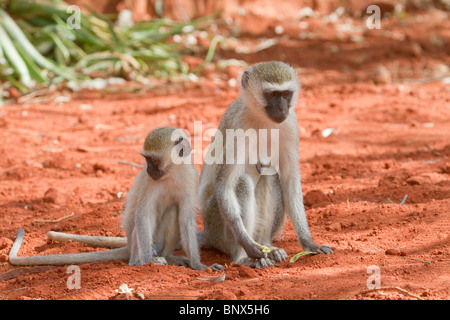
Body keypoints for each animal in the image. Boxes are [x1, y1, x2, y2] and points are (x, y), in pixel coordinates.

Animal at [8, 126, 223, 272]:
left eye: (153, 160)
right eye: (146, 159)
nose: (148, 170)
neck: (172, 172)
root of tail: (129, 246)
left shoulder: (191, 177)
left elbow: (185, 218)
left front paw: (198, 265)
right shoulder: (149, 183)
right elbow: (143, 215)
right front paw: (148, 262)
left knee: (173, 212)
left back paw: (169, 257)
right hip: (139, 243)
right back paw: (140, 261)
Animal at [199, 60, 332, 268]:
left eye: (285, 94)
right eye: (271, 95)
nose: (282, 109)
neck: (262, 119)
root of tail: (208, 233)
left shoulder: (290, 124)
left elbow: (289, 181)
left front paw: (309, 243)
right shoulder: (239, 127)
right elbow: (225, 184)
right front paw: (248, 246)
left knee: (270, 176)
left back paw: (269, 247)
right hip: (215, 224)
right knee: (242, 182)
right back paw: (243, 257)